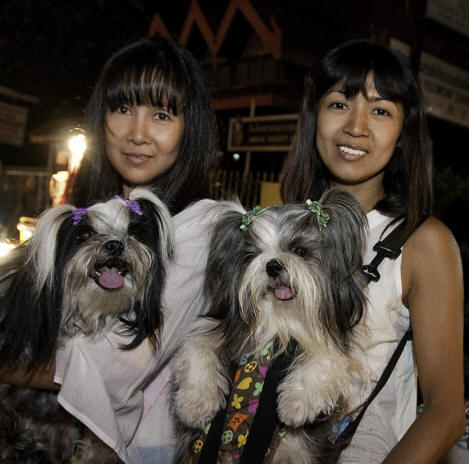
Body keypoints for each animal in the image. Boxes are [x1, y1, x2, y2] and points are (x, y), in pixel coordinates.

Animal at [172, 187, 368, 464]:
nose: (273, 265)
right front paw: (194, 405)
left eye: (299, 250)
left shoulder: (332, 344)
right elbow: (197, 349)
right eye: (253, 255)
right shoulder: (219, 331)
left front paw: (297, 404)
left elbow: (328, 357)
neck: (280, 321)